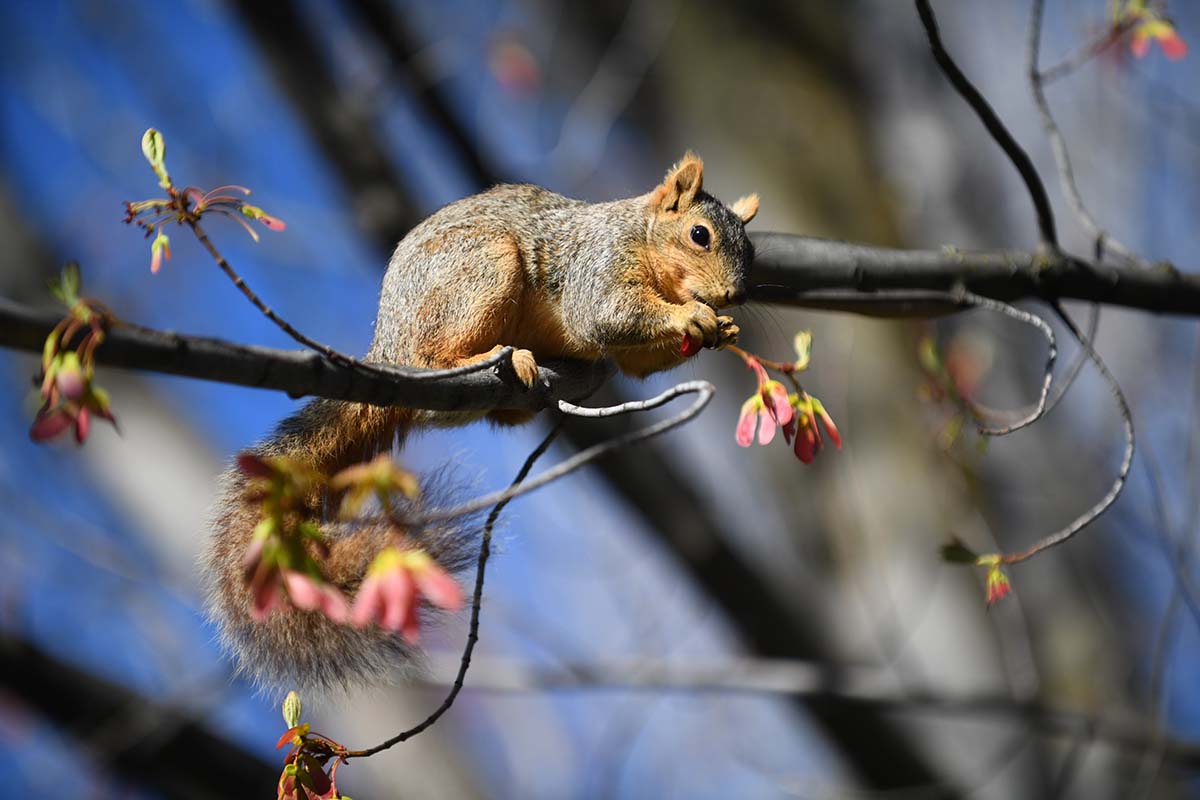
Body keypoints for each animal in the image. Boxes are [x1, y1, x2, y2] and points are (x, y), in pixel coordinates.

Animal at [201, 153, 753, 690]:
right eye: (699, 234)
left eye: (751, 249)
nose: (734, 295)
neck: (642, 239)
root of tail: (388, 348)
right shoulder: (597, 266)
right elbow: (609, 313)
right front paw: (689, 316)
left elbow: (635, 362)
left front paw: (722, 329)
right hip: (481, 266)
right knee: (434, 361)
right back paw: (491, 359)